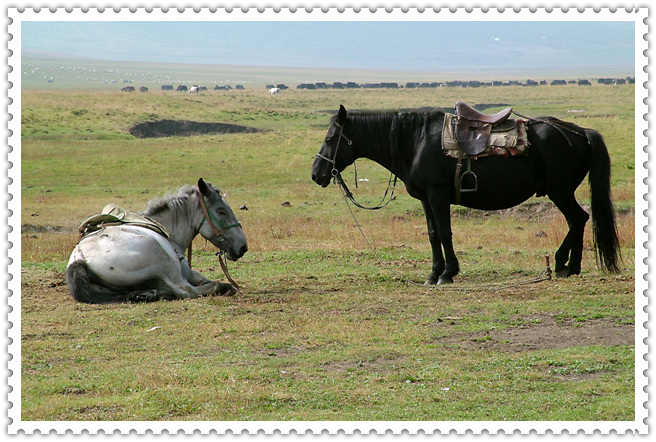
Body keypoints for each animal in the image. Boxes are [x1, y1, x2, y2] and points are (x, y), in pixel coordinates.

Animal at [312, 105, 620, 284]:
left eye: (330, 138)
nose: (316, 174)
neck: (414, 140)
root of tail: (580, 132)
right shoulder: (426, 199)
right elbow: (432, 234)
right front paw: (434, 273)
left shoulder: (437, 196)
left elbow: (444, 233)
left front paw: (448, 273)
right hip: (561, 191)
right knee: (578, 220)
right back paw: (568, 266)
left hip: (560, 191)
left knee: (577, 219)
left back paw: (564, 264)